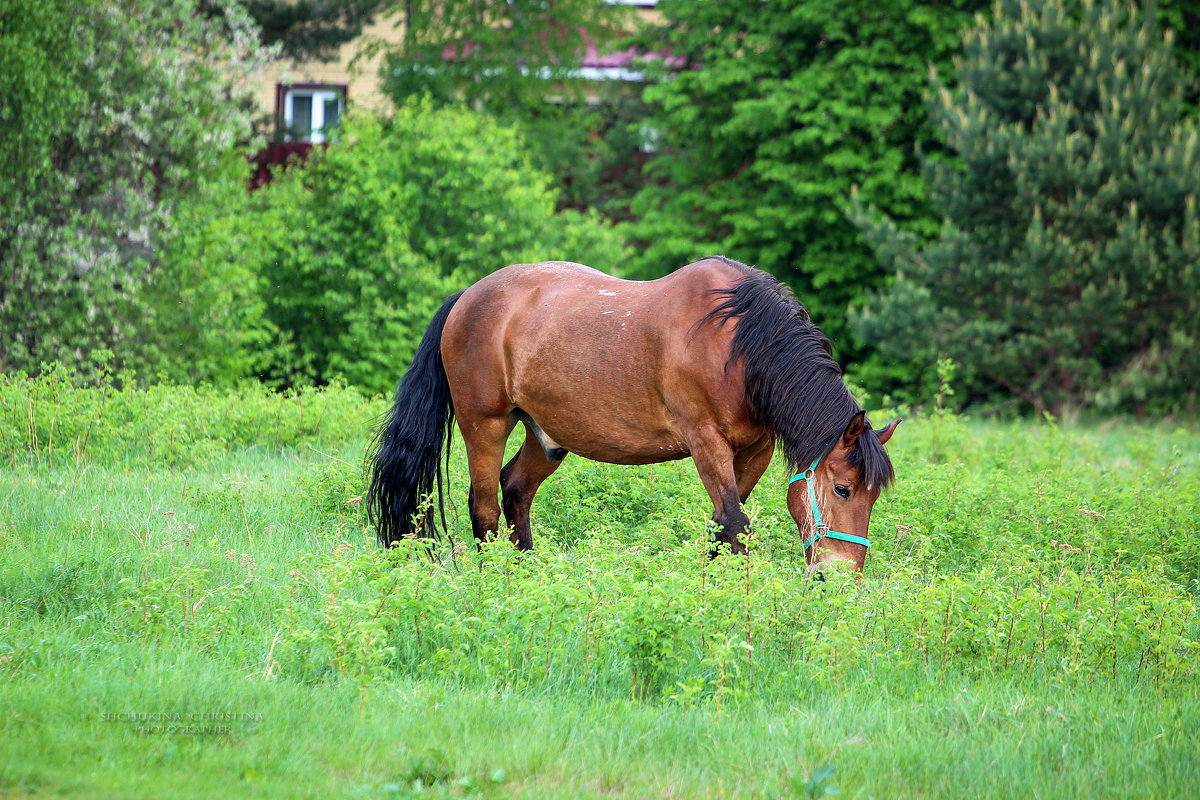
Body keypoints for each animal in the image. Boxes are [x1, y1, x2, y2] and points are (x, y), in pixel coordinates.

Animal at [364, 253, 902, 573]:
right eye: (843, 489)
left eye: (873, 497)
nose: (841, 578)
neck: (740, 345)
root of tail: (467, 298)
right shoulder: (706, 443)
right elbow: (734, 523)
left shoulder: (755, 450)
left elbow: (720, 525)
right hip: (486, 423)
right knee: (484, 509)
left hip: (547, 437)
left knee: (515, 489)